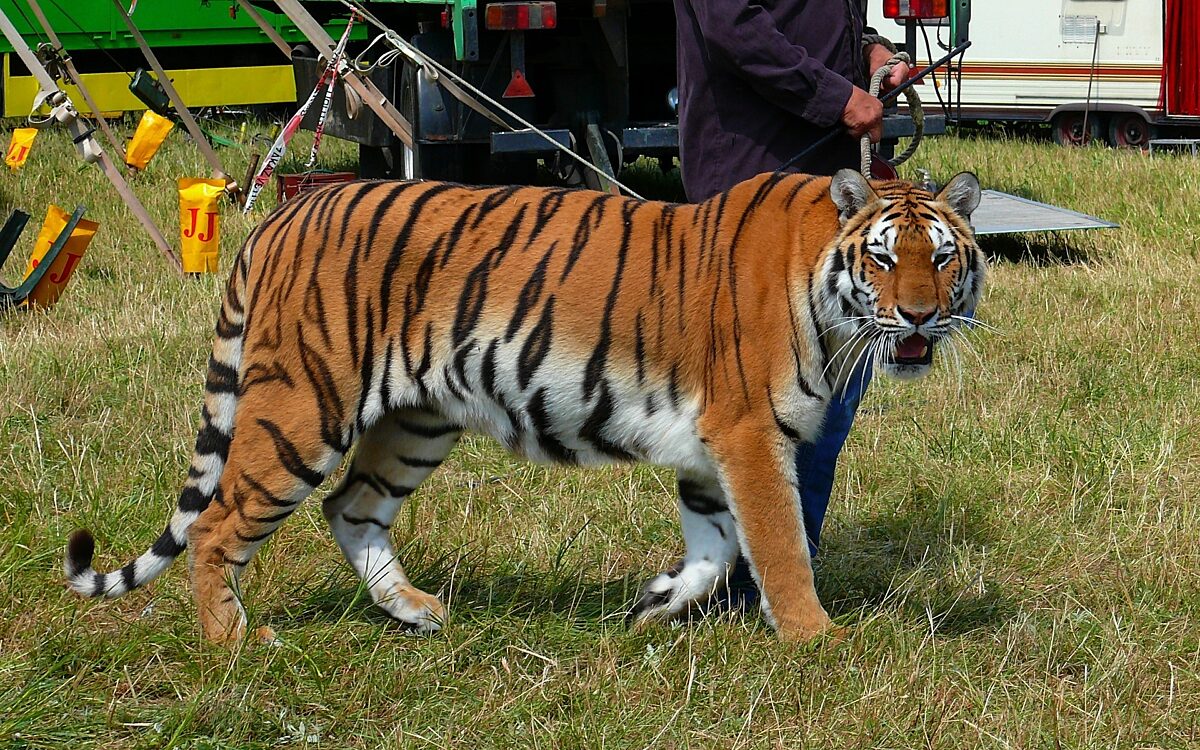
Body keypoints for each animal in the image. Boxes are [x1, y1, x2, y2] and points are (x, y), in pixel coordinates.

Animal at [64, 168, 984, 643]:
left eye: (942, 258)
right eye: (882, 259)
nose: (919, 316)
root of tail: (285, 213)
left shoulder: (710, 447)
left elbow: (717, 547)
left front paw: (655, 604)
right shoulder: (750, 434)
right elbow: (780, 545)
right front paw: (816, 640)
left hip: (415, 422)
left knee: (351, 507)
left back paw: (416, 612)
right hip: (303, 406)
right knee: (219, 524)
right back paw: (235, 647)